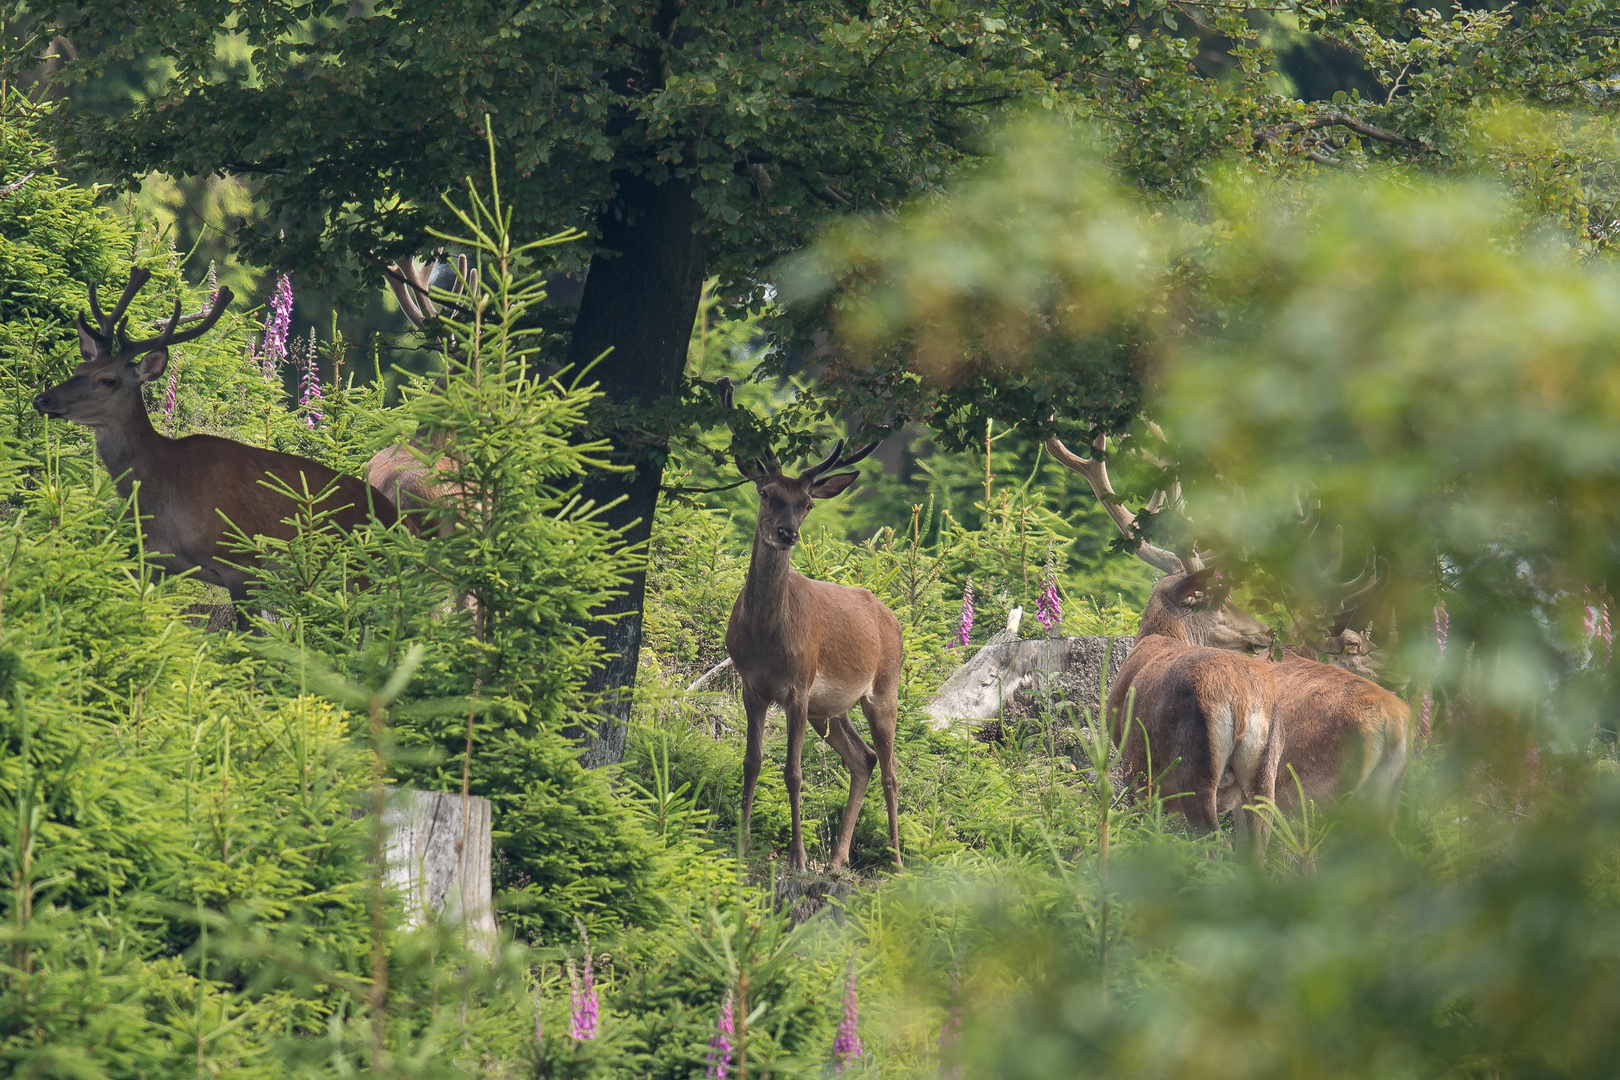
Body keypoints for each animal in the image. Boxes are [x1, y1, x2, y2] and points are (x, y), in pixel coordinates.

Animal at [34, 268, 398, 625]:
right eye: (79, 367)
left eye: (107, 380)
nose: (42, 399)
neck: (164, 490)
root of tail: (398, 518)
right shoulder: (156, 561)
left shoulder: (242, 562)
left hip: (363, 572)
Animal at [725, 388, 913, 867]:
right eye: (767, 492)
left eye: (807, 503)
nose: (786, 533)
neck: (765, 639)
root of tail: (891, 617)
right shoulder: (751, 685)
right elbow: (751, 762)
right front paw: (741, 846)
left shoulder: (798, 685)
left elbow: (793, 772)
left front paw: (797, 856)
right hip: (829, 708)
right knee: (863, 759)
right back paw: (837, 859)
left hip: (883, 687)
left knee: (890, 770)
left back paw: (896, 859)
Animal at [1108, 566, 1283, 854]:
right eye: (1219, 603)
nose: (1265, 631)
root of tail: (1241, 697)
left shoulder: (1134, 772)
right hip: (1265, 773)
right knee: (1257, 844)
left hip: (1194, 765)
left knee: (1216, 842)